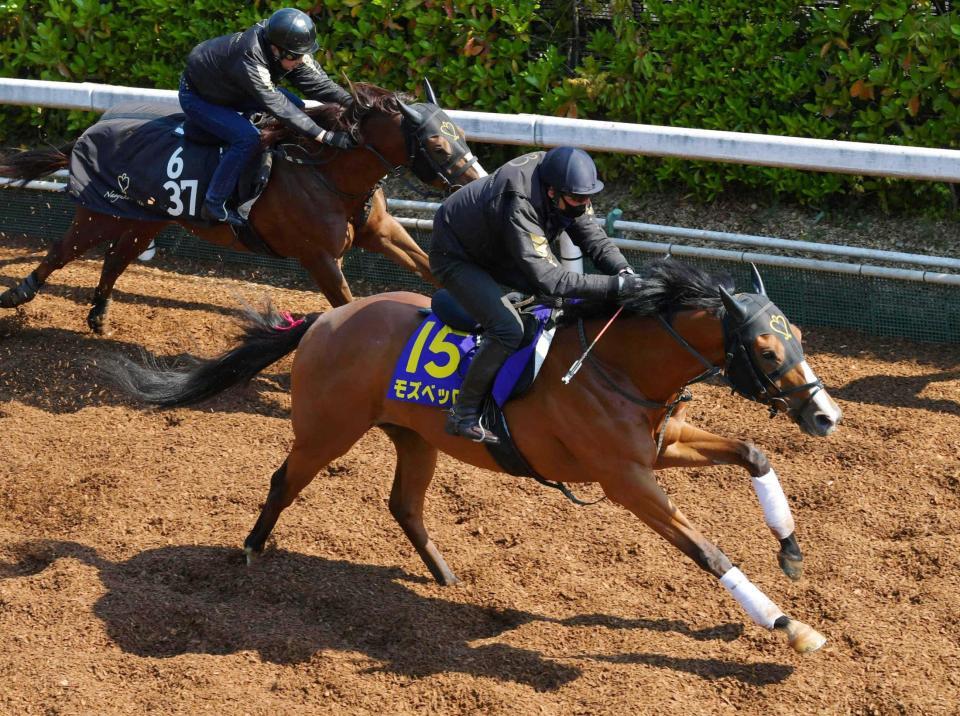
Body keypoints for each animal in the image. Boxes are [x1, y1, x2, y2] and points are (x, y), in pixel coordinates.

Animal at [0, 80, 484, 332]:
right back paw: (18, 294)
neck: (328, 173)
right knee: (62, 251)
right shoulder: (319, 257)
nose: (477, 182)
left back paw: (99, 316)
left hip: (147, 220)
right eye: (437, 144)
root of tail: (89, 132)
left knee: (116, 258)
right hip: (101, 213)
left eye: (461, 133)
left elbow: (428, 266)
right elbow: (345, 301)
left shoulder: (382, 231)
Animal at [107, 262, 840, 656]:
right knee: (284, 480)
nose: (824, 415)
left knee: (403, 504)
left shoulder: (662, 445)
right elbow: (708, 552)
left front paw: (791, 549)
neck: (614, 364)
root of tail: (322, 320)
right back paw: (252, 549)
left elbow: (754, 452)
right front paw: (789, 625)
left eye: (801, 338)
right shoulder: (626, 479)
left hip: (415, 438)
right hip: (325, 431)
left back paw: (447, 577)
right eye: (766, 350)